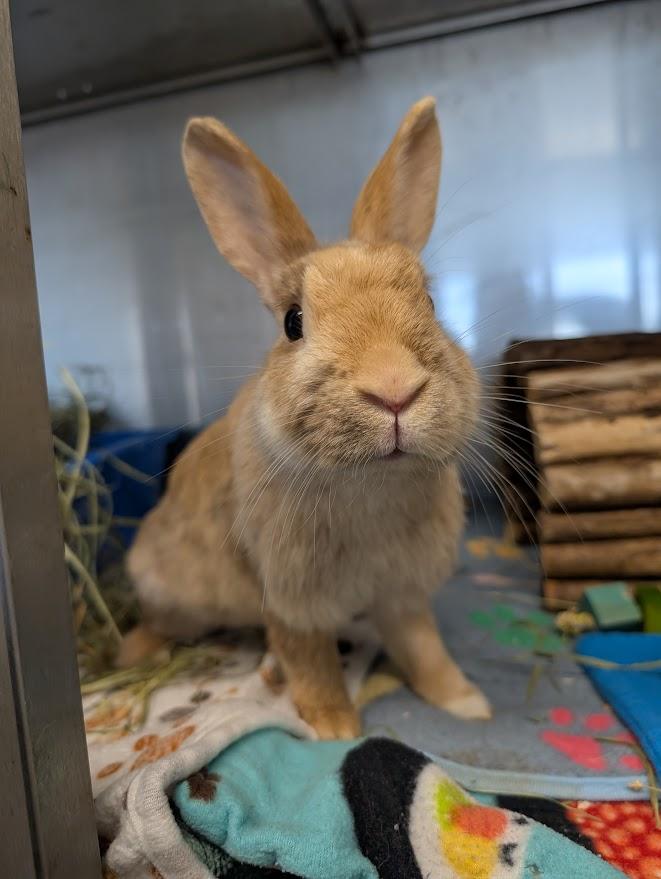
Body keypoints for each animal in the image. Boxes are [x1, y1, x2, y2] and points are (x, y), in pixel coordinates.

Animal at [120, 96, 492, 739]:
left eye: (430, 303)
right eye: (293, 321)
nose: (394, 390)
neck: (371, 485)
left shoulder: (402, 593)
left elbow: (424, 648)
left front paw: (467, 702)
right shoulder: (291, 598)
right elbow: (310, 659)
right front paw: (336, 728)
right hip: (173, 592)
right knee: (164, 625)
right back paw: (131, 656)